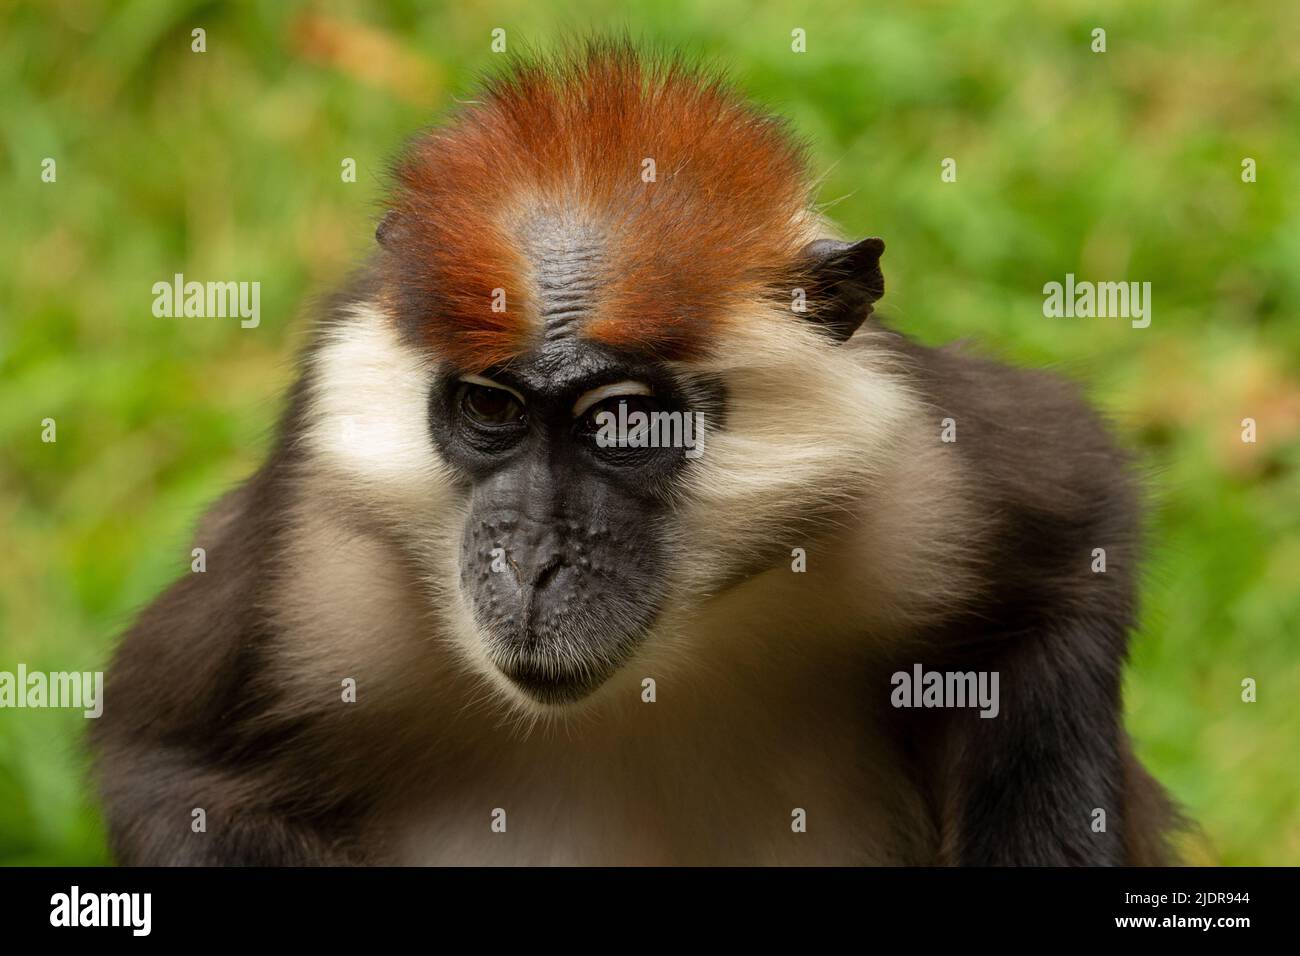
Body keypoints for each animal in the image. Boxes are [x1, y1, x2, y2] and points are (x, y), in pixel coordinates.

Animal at [91, 44, 1185, 868]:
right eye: (490, 405)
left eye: (622, 423)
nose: (532, 564)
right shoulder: (312, 574)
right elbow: (164, 764)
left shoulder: (940, 486)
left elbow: (1070, 556)